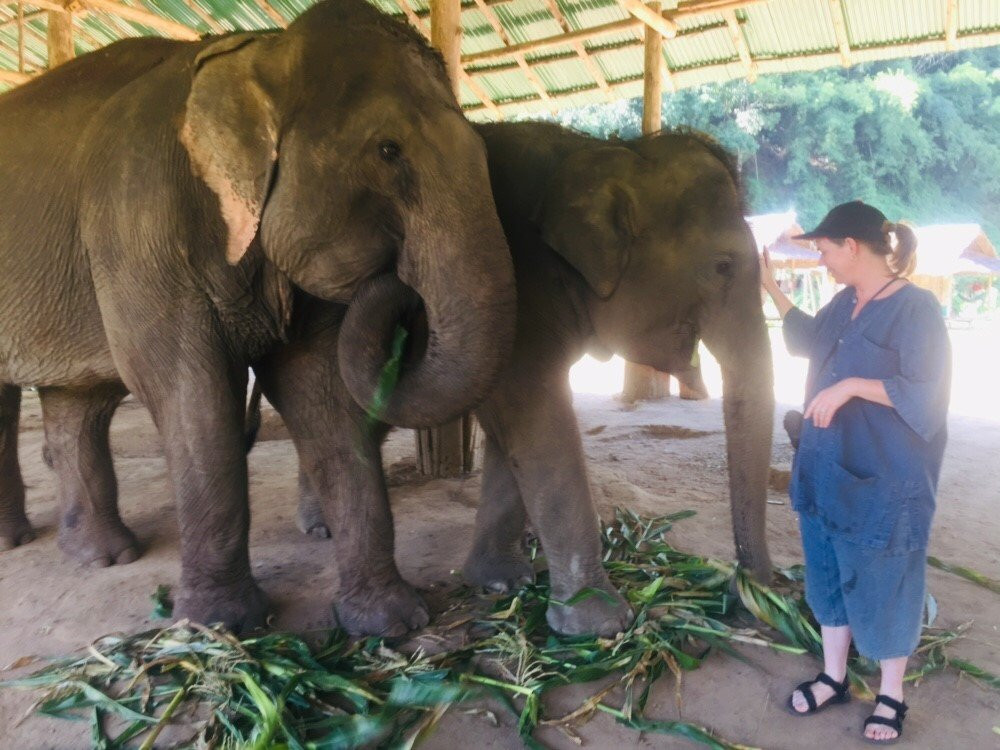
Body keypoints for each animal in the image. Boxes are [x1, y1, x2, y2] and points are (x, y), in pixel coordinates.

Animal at [0, 0, 516, 636]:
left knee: (76, 404)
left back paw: (105, 557)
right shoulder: (135, 223)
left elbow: (319, 392)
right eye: (388, 150)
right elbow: (191, 393)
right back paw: (28, 544)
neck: (261, 50)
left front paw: (393, 621)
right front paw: (219, 627)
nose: (396, 282)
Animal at [256, 120, 772, 636]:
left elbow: (513, 428)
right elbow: (535, 411)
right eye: (723, 267)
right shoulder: (522, 286)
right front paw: (601, 625)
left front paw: (500, 581)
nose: (746, 598)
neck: (599, 149)